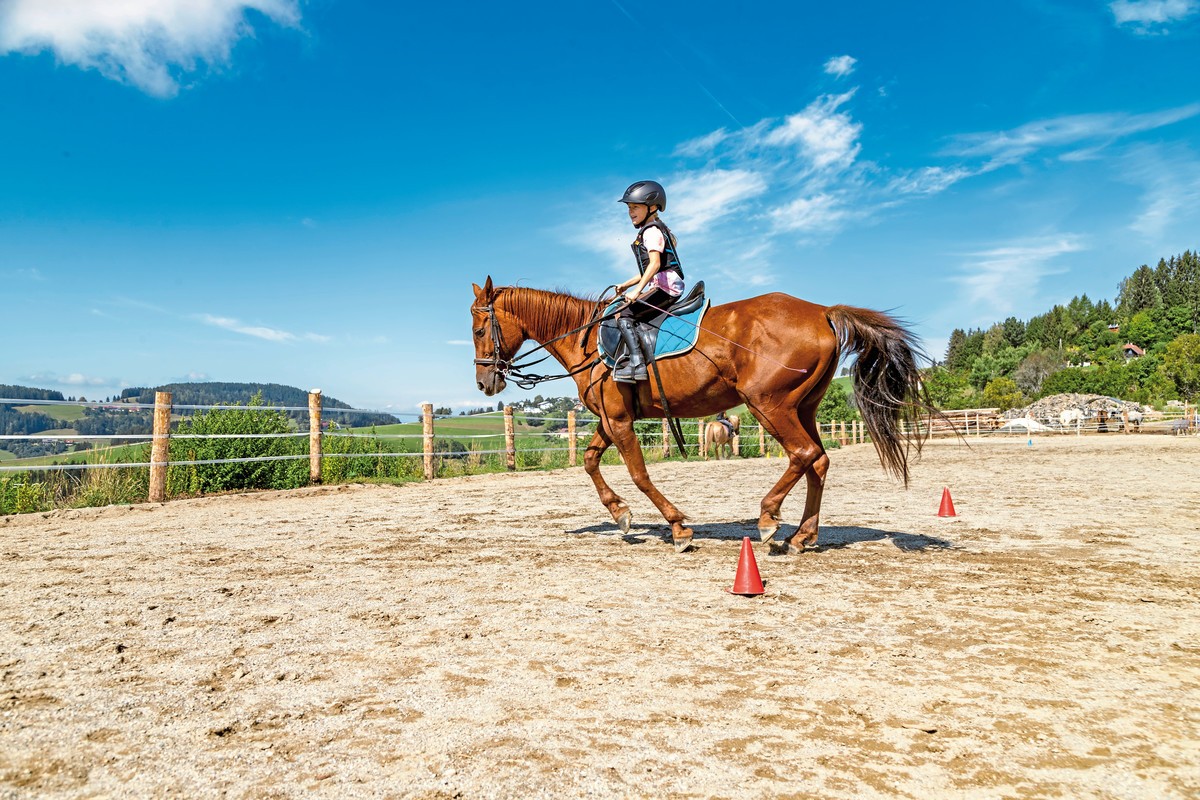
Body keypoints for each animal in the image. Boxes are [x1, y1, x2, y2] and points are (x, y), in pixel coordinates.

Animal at [468, 278, 926, 554]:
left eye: (478, 329)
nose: (485, 382)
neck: (586, 339)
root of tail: (821, 311)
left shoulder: (619, 420)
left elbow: (639, 474)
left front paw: (677, 528)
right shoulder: (608, 419)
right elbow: (590, 460)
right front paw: (620, 514)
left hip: (769, 405)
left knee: (803, 454)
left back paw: (768, 519)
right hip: (803, 407)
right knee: (819, 461)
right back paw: (802, 536)